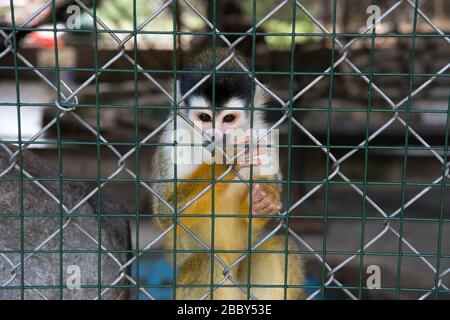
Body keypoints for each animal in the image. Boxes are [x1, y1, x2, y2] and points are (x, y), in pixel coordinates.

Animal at [151, 49, 306, 300]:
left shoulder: (262, 135)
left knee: (278, 248)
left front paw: (264, 199)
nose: (216, 137)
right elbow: (166, 213)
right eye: (205, 118)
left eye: (229, 119)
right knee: (210, 262)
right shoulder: (171, 140)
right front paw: (227, 159)